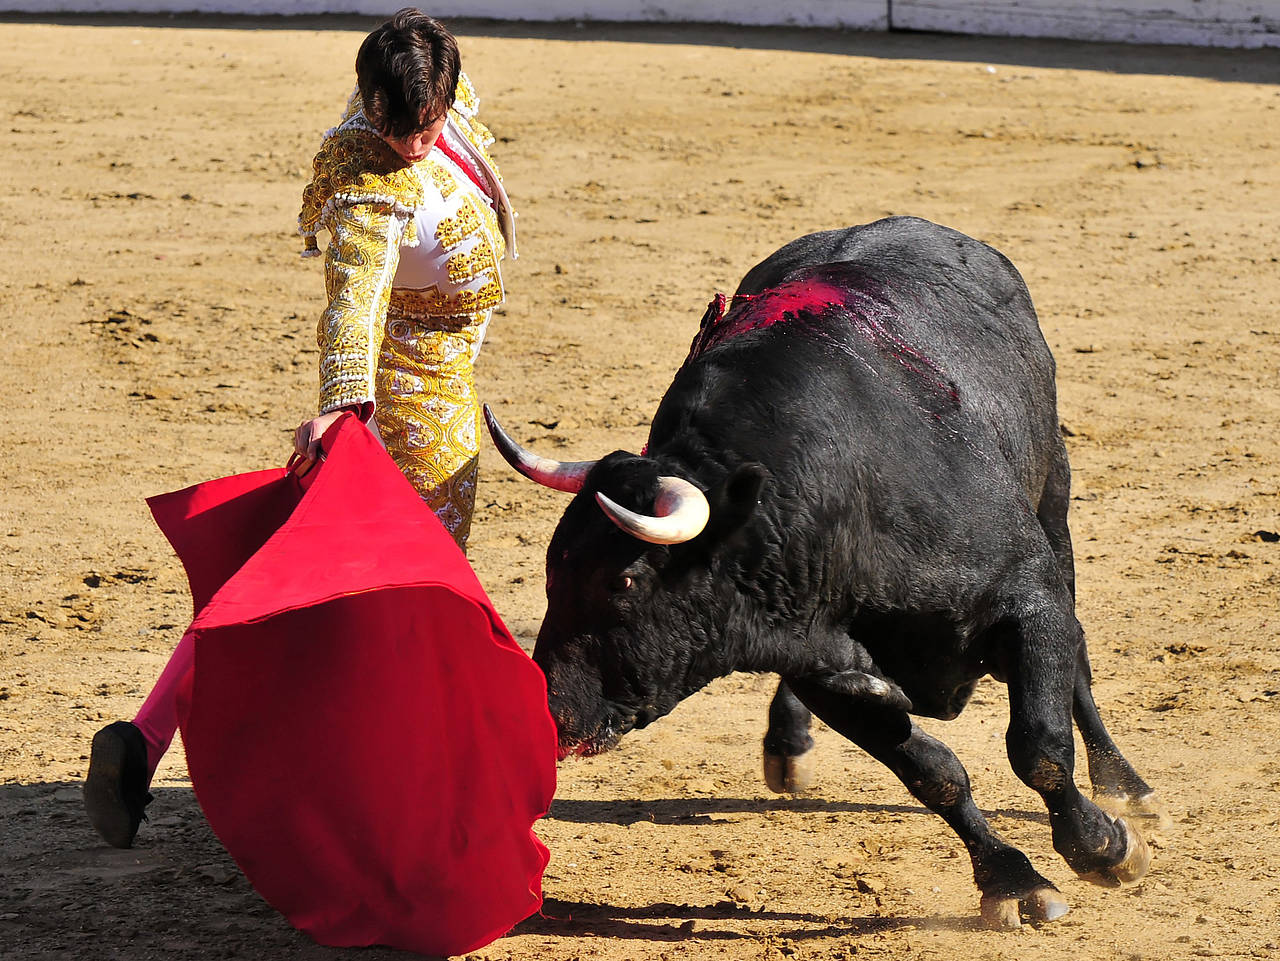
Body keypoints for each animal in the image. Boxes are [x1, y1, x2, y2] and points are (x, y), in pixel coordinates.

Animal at [483, 216, 1167, 926]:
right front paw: (1013, 882)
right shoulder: (826, 677)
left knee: (1077, 660)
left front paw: (1103, 848)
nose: (553, 717)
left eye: (623, 581)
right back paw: (787, 747)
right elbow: (934, 773)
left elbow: (1039, 746)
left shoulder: (1027, 598)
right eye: (552, 572)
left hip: (1055, 498)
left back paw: (1125, 786)